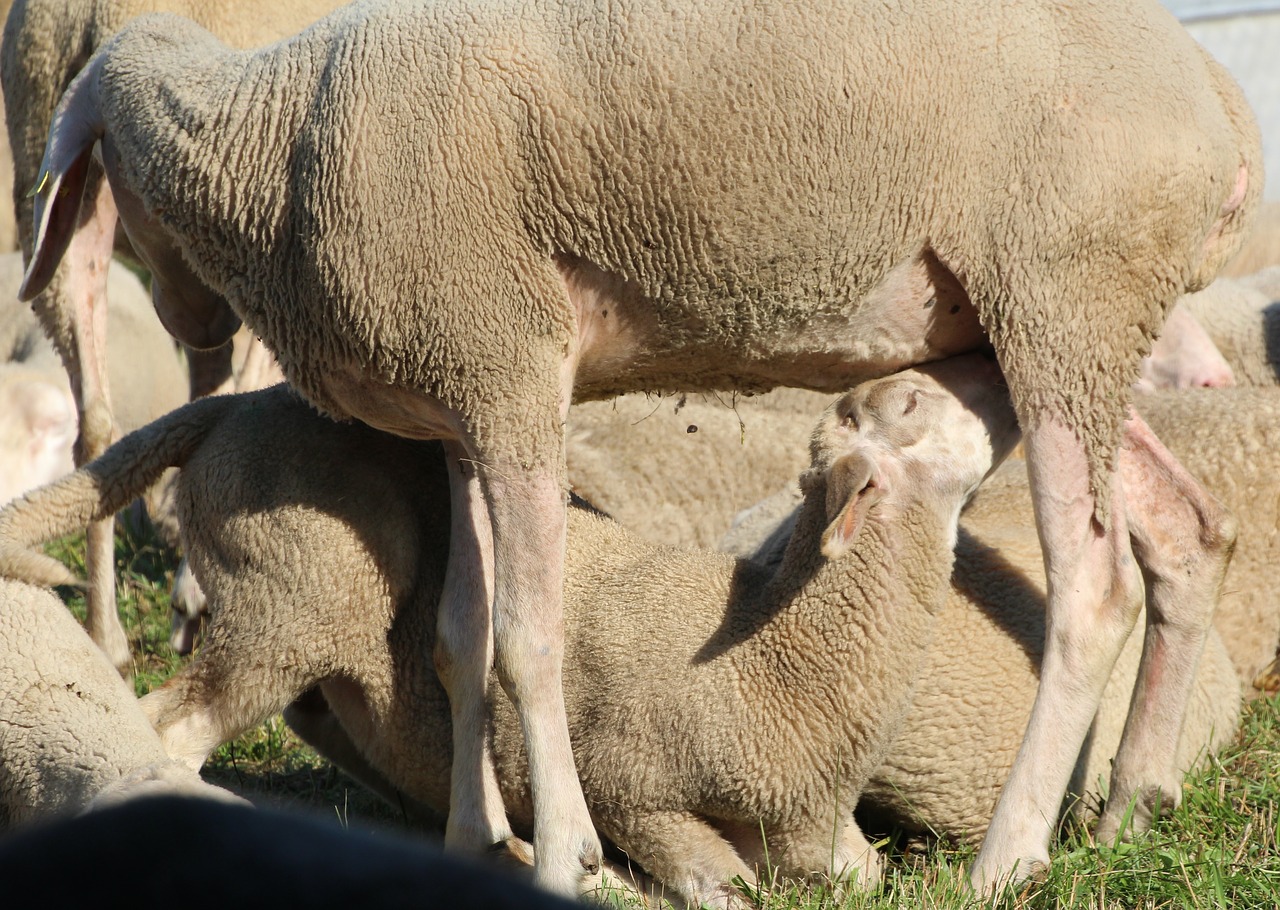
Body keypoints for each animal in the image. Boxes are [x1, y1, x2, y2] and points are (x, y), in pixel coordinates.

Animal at [1, 0, 350, 686]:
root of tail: (97, 17)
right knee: (240, 387)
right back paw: (188, 597)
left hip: (54, 190)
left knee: (97, 423)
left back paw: (107, 638)